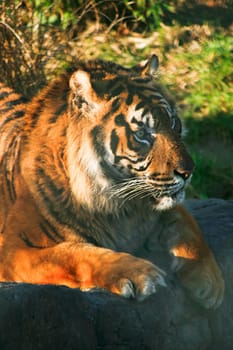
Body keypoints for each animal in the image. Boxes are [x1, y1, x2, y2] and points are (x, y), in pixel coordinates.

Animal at [0, 53, 224, 308]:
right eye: (142, 134)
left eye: (174, 123)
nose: (188, 171)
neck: (121, 208)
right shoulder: (12, 249)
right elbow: (73, 255)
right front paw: (142, 275)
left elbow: (189, 226)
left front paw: (210, 283)